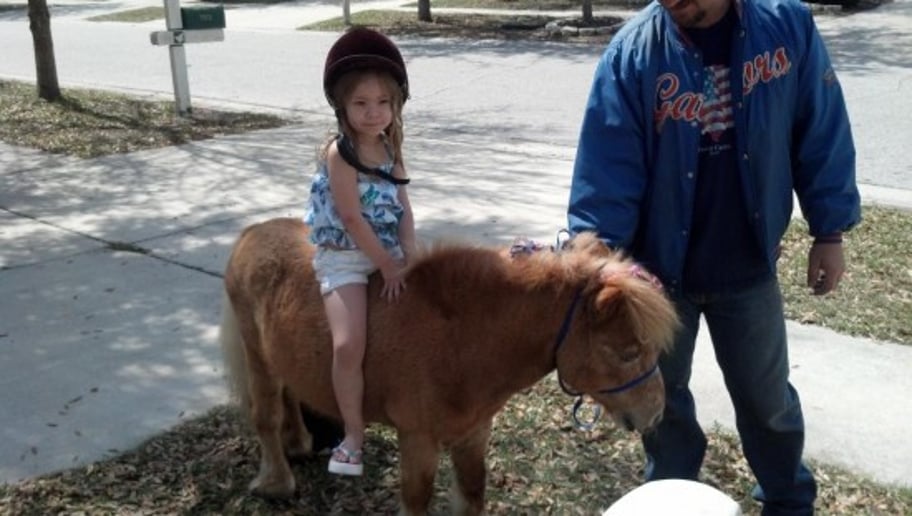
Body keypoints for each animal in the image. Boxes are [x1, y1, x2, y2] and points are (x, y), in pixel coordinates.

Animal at [219, 217, 679, 515]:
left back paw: (298, 444)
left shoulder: (473, 434)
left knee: (289, 392)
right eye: (628, 351)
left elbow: (472, 494)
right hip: (255, 354)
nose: (656, 414)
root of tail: (252, 233)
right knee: (266, 415)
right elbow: (418, 500)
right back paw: (276, 483)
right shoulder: (418, 440)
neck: (460, 338)